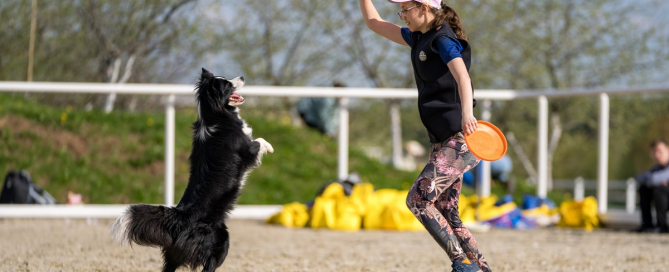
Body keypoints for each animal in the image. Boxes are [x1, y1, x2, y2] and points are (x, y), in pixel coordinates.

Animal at [111, 68, 272, 272]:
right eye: (227, 84)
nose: (242, 76)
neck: (214, 113)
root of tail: (179, 219)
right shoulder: (247, 149)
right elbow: (259, 141)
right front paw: (270, 147)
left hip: (174, 255)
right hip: (221, 240)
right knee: (209, 266)